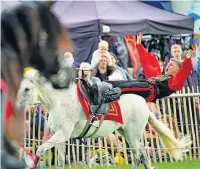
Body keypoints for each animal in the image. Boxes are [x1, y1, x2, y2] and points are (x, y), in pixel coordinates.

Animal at [17, 69, 192, 169]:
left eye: (27, 89)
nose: (17, 107)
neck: (59, 100)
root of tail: (143, 104)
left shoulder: (62, 134)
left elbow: (39, 150)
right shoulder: (59, 137)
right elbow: (59, 161)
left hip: (132, 134)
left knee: (138, 155)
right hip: (125, 132)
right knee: (141, 153)